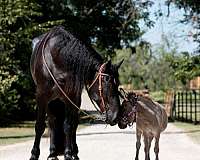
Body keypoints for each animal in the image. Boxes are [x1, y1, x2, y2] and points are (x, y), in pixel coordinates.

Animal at [29, 25, 122, 159]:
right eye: (106, 82)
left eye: (117, 84)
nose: (115, 116)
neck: (56, 59)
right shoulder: (42, 97)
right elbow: (40, 126)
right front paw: (34, 154)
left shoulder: (70, 97)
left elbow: (68, 126)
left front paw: (68, 154)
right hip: (52, 101)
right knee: (52, 122)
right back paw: (52, 153)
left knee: (73, 124)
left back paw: (73, 152)